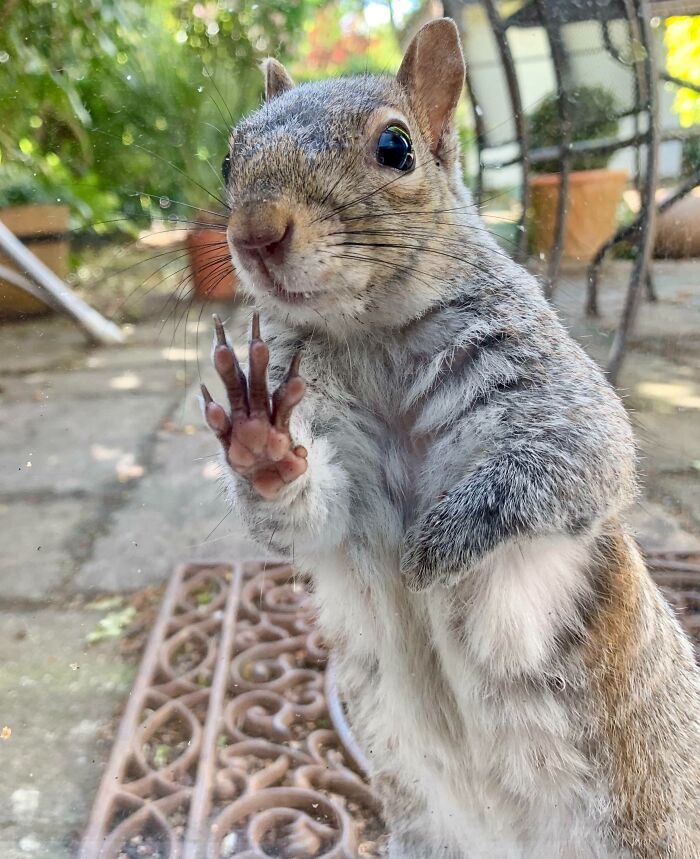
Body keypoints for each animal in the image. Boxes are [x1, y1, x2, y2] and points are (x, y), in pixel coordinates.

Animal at [201, 18, 700, 859]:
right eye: (231, 157)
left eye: (395, 147)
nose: (255, 233)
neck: (369, 336)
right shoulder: (340, 483)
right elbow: (304, 515)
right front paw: (263, 440)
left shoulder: (555, 399)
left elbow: (573, 462)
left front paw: (432, 549)